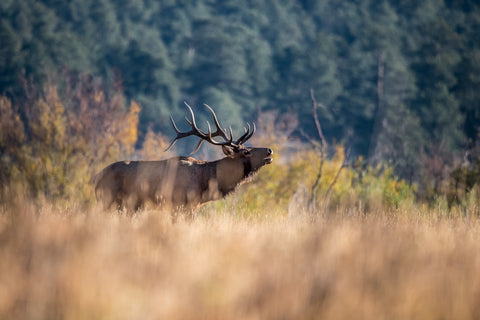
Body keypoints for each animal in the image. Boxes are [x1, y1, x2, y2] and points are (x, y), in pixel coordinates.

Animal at [94, 103, 274, 212]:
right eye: (246, 152)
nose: (269, 150)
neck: (207, 182)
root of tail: (96, 178)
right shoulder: (181, 205)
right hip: (108, 201)